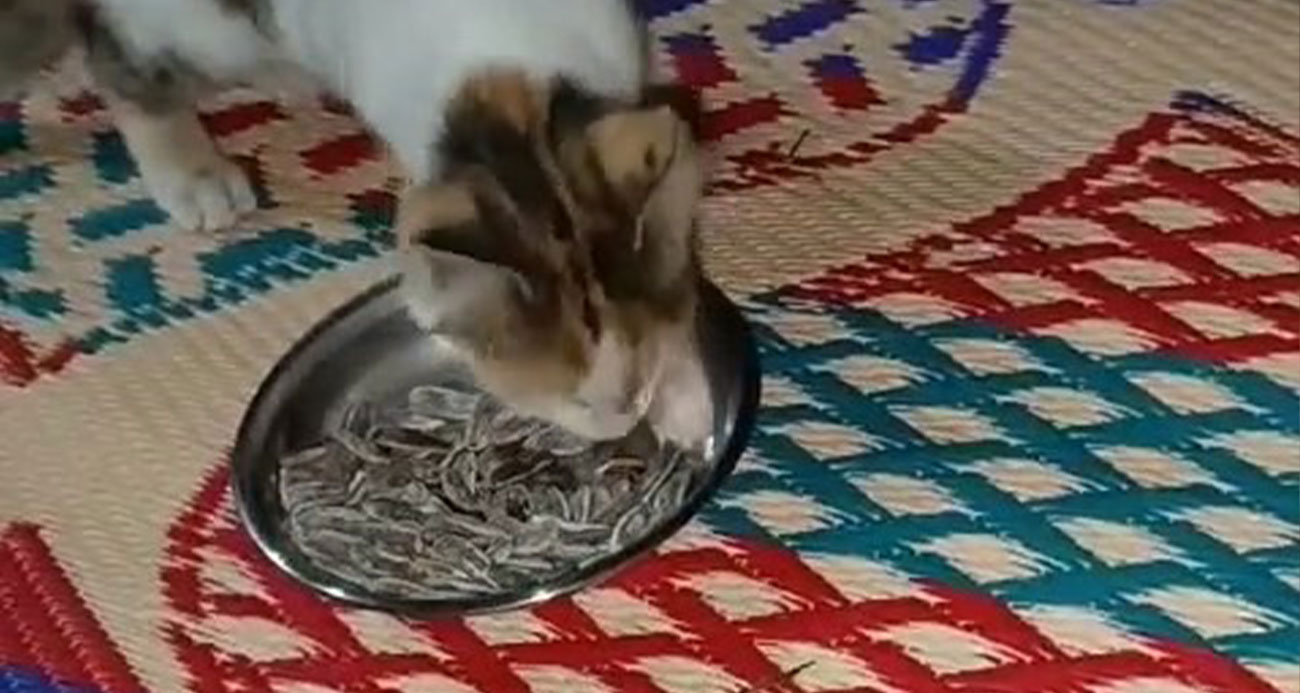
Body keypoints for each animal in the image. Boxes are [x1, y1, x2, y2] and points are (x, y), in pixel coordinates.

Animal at [0, 0, 714, 449]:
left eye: (638, 382)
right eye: (576, 402)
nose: (622, 421)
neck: (508, 69)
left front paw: (682, 391)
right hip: (196, 26)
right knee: (117, 54)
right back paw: (190, 172)